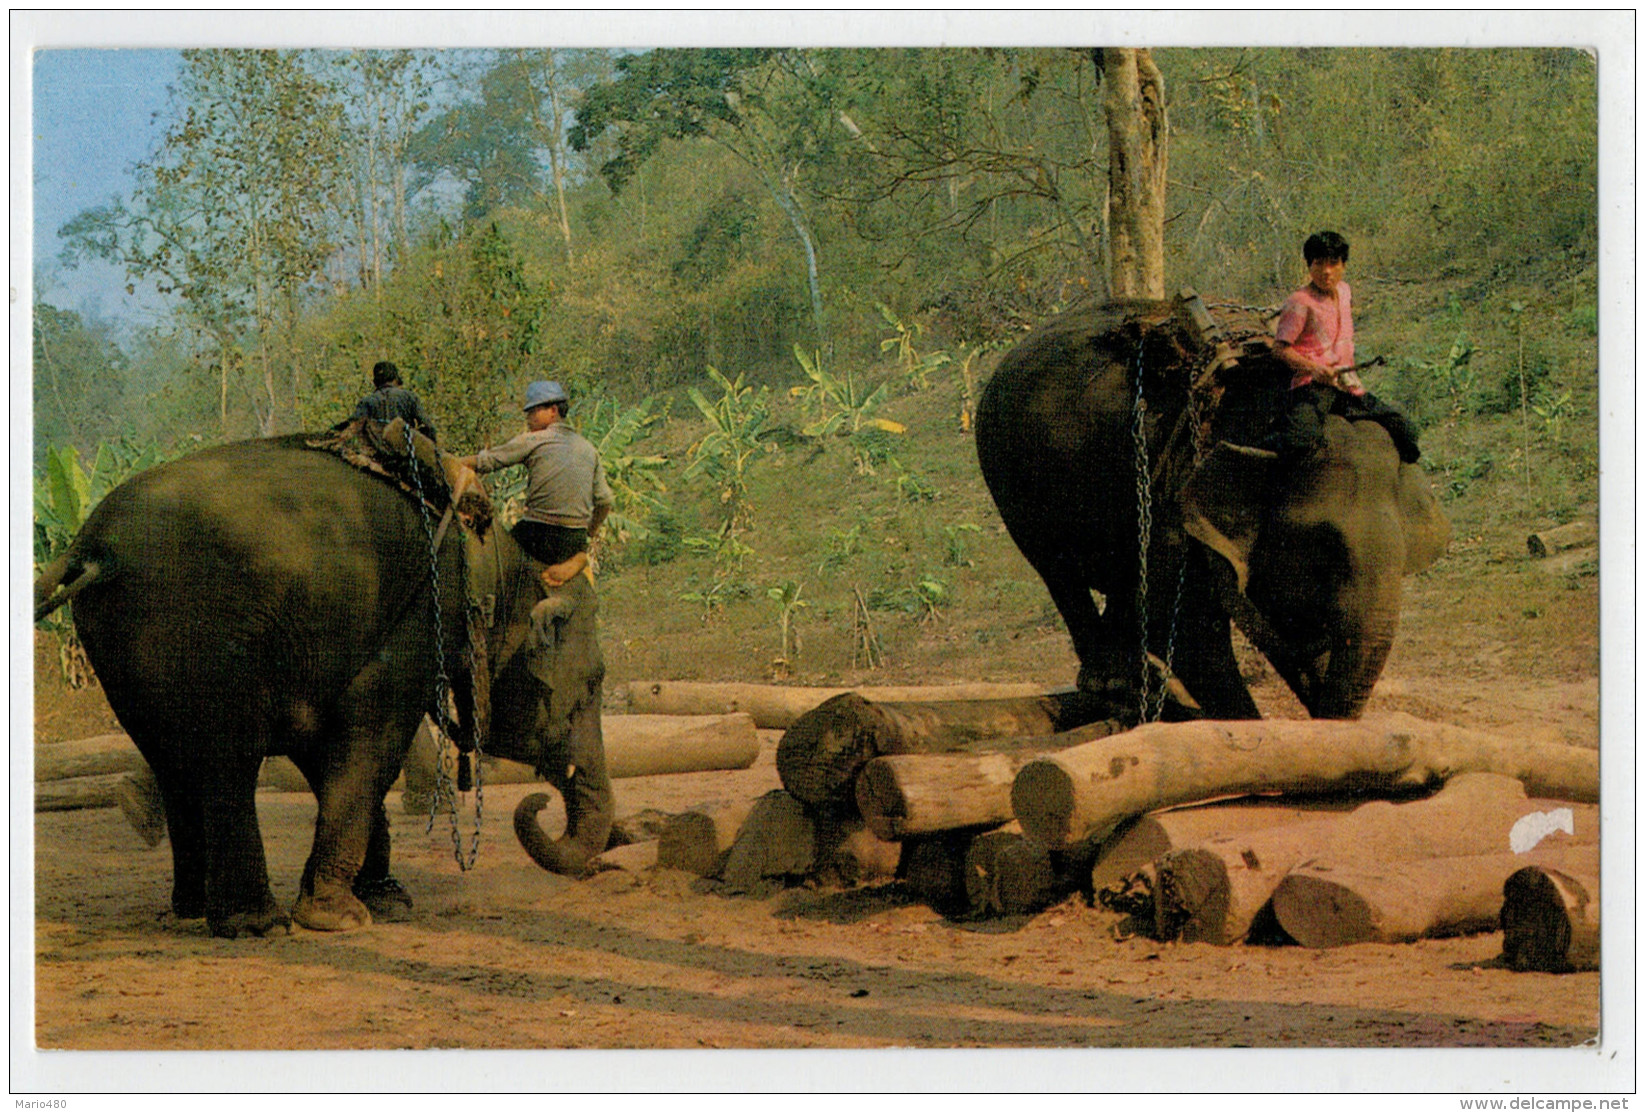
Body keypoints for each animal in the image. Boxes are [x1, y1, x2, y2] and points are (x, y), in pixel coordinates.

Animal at [30, 434, 611, 940]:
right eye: (589, 688)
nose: (540, 799)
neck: (497, 558)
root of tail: (91, 547)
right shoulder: (419, 617)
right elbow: (371, 742)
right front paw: (339, 917)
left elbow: (327, 746)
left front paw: (387, 901)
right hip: (205, 631)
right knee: (226, 762)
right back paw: (256, 925)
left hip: (122, 647)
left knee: (172, 758)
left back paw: (193, 910)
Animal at [967, 299, 1447, 723]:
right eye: (1321, 547)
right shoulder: (1177, 502)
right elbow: (1191, 632)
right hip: (1006, 475)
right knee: (1059, 572)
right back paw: (1117, 687)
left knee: (1125, 583)